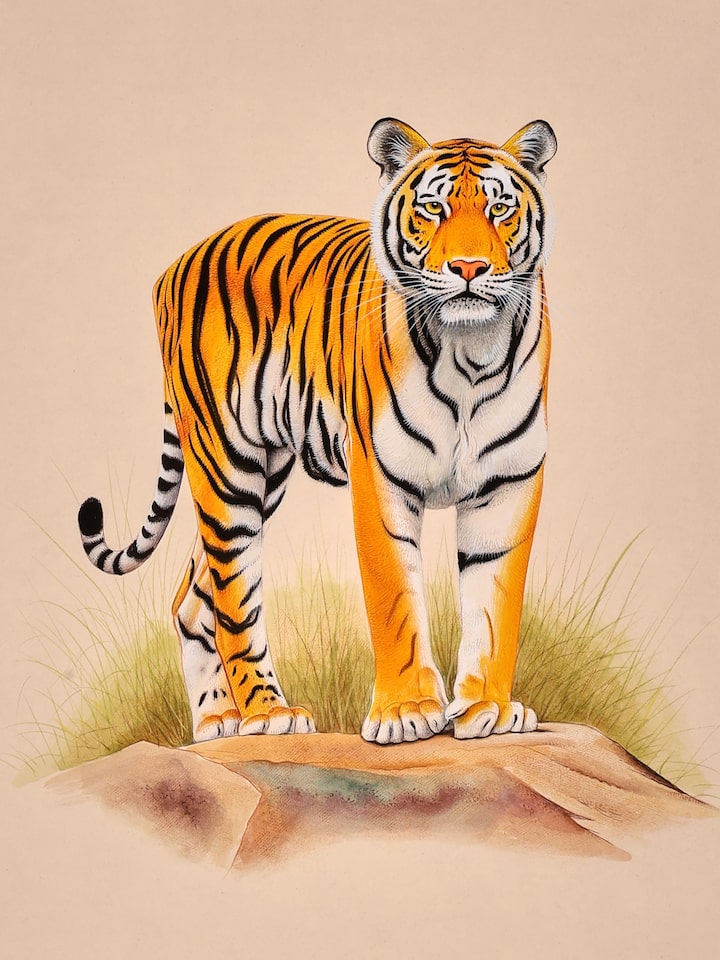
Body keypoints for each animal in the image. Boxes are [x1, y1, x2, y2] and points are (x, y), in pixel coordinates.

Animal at [78, 117, 556, 746]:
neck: (471, 352)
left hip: (264, 475)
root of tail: (176, 264)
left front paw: (488, 711)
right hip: (226, 469)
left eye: (500, 209)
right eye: (433, 207)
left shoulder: (508, 484)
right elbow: (394, 597)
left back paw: (215, 724)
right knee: (233, 600)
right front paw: (407, 712)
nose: (471, 269)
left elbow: (495, 604)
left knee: (192, 598)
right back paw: (267, 714)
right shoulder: (381, 479)